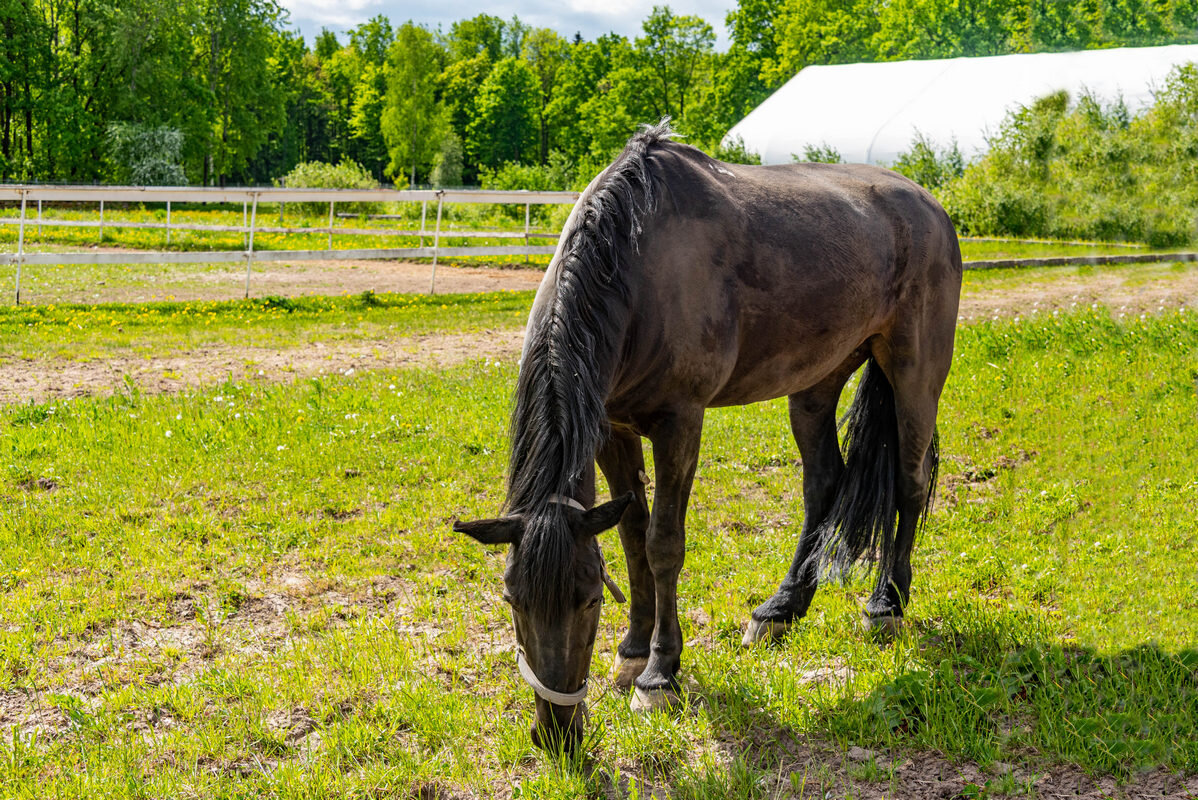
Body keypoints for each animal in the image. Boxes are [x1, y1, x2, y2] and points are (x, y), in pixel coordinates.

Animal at [452, 123, 958, 752]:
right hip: (815, 384)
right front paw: (631, 651)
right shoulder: (611, 431)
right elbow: (631, 537)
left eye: (589, 598)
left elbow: (663, 544)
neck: (635, 265)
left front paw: (659, 674)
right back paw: (780, 610)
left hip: (914, 375)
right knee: (824, 485)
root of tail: (930, 205)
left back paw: (886, 603)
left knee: (910, 484)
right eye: (511, 599)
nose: (557, 733)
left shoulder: (679, 423)